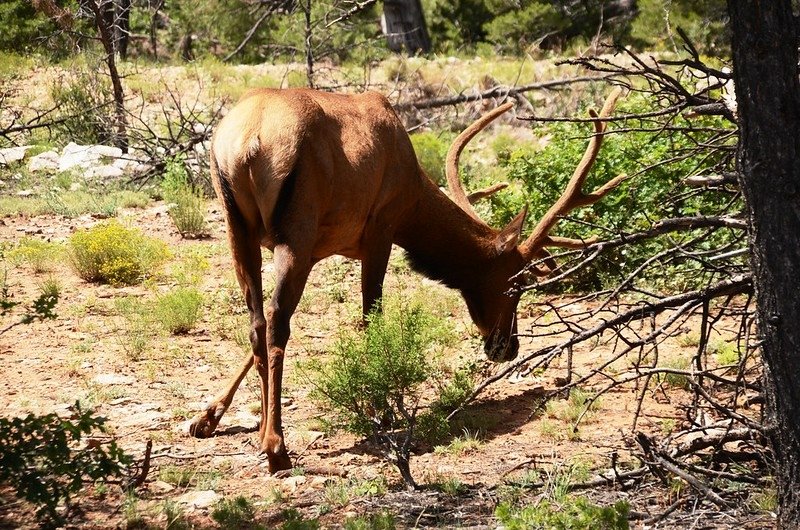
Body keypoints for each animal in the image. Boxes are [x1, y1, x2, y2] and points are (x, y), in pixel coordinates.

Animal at [189, 85, 624, 470]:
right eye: (514, 285)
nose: (507, 347)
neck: (413, 199)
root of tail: (248, 143)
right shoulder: (380, 227)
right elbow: (371, 317)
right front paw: (380, 408)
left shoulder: (318, 249)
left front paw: (209, 414)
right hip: (296, 226)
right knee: (278, 323)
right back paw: (276, 447)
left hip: (237, 225)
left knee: (257, 322)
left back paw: (259, 429)